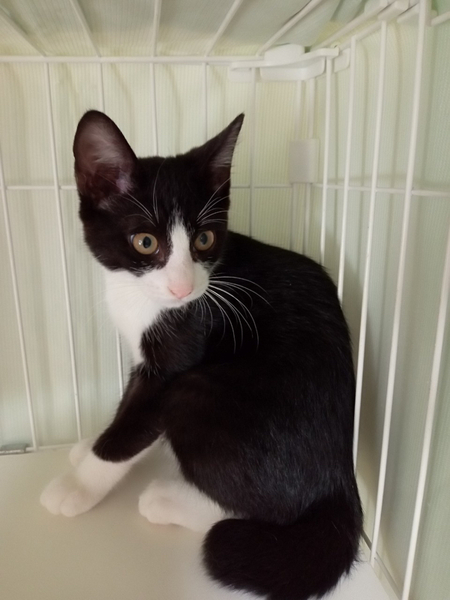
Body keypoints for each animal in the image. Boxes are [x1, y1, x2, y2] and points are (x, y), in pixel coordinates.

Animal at [41, 110, 362, 600]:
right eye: (146, 242)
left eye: (206, 240)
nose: (184, 288)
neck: (142, 299)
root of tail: (340, 480)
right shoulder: (144, 358)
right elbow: (128, 408)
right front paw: (88, 444)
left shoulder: (178, 356)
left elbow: (135, 425)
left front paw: (78, 486)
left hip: (198, 394)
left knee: (271, 508)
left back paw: (167, 501)